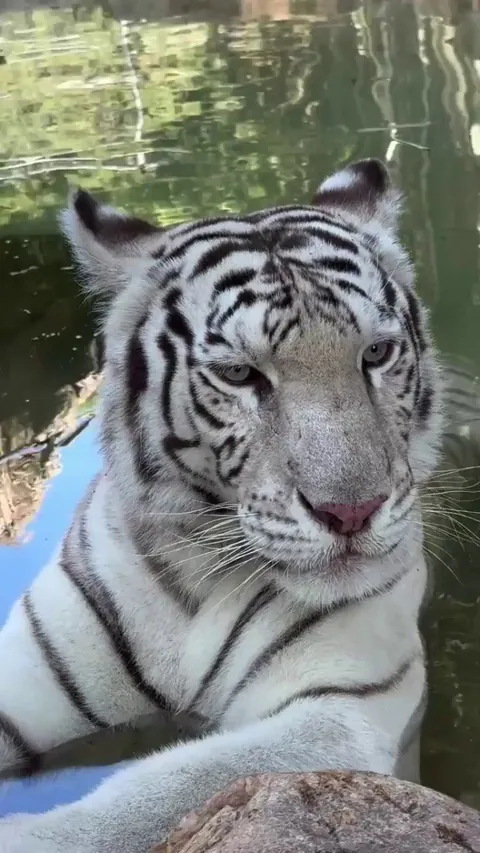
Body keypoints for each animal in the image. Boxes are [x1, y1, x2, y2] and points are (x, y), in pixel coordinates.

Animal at [0, 158, 443, 853]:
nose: (352, 511)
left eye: (376, 353)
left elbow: (160, 790)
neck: (201, 575)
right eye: (239, 374)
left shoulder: (340, 707)